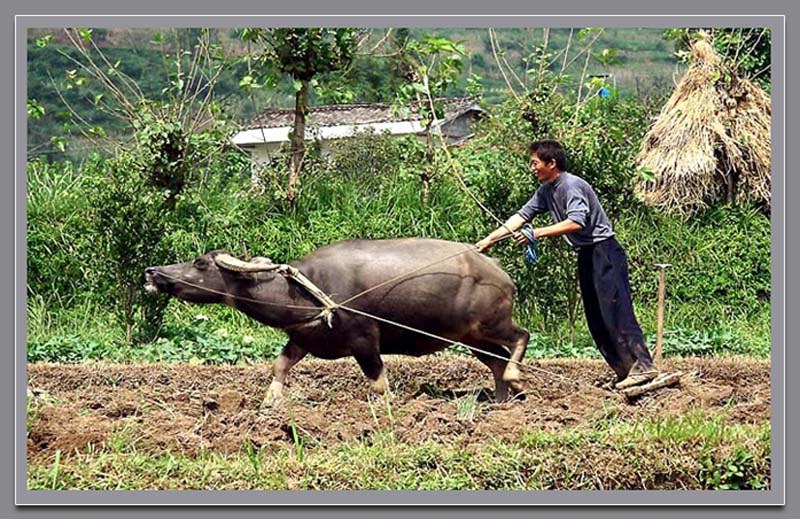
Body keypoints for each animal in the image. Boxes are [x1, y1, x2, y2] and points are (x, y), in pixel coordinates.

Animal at [144, 238, 532, 404]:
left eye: (200, 263)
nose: (153, 271)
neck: (303, 293)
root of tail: (500, 273)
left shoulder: (364, 340)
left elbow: (379, 382)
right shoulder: (302, 338)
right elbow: (279, 365)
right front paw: (270, 402)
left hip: (489, 325)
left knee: (520, 338)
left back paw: (516, 380)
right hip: (471, 337)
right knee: (496, 361)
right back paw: (501, 400)